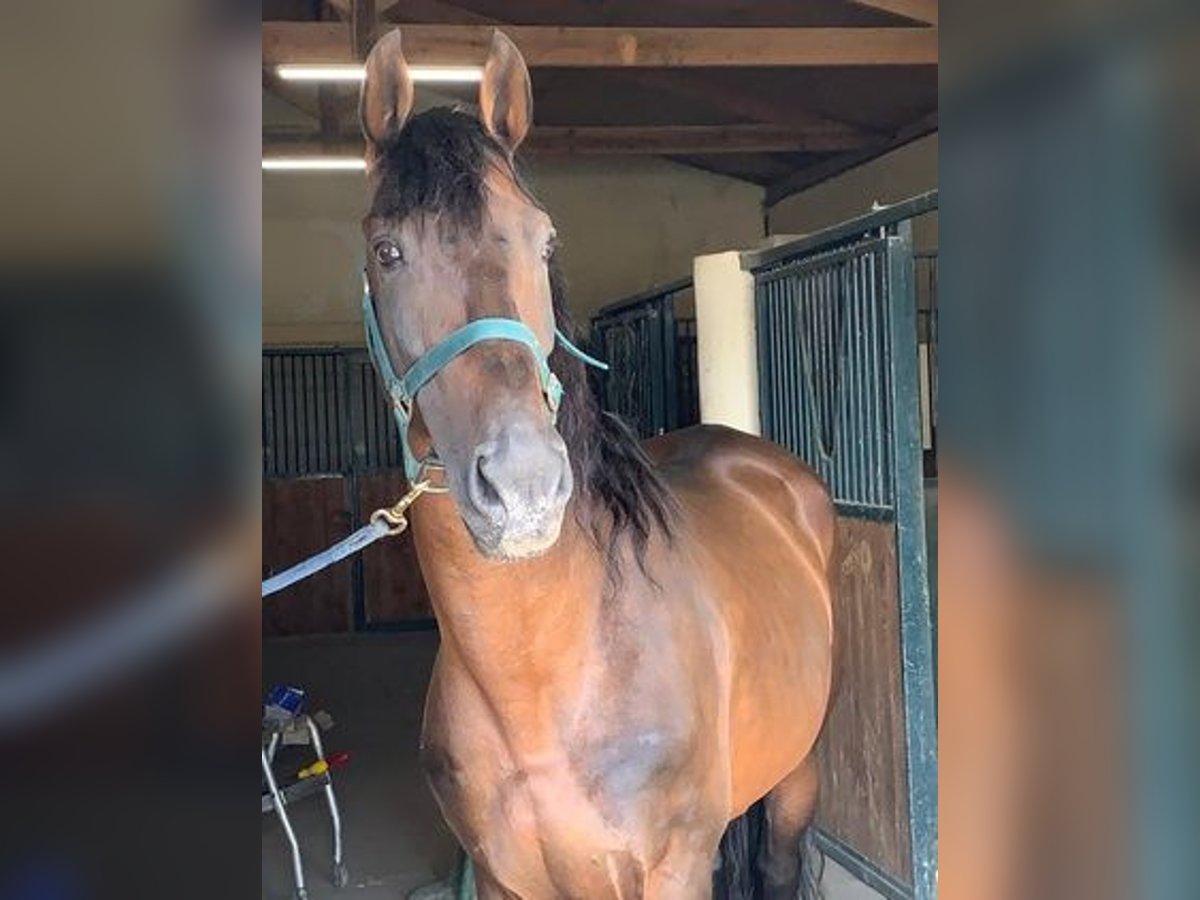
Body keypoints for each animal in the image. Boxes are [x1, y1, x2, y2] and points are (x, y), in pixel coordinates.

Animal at [360, 30, 840, 900]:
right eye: (388, 251)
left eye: (544, 239)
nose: (523, 485)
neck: (545, 680)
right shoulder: (501, 879)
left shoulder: (676, 868)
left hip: (799, 773)